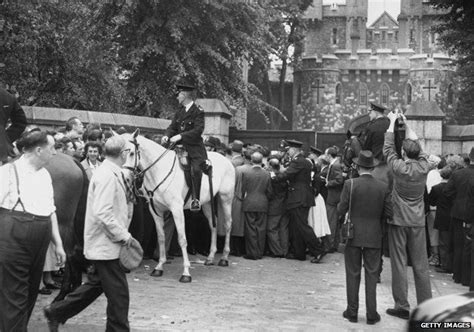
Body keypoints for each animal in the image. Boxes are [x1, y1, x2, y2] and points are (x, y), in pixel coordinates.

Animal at [121, 131, 234, 282]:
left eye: (132, 153)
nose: (125, 177)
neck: (159, 170)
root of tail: (226, 159)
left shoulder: (177, 209)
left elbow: (182, 239)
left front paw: (186, 272)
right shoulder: (156, 210)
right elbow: (161, 238)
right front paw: (159, 267)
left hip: (226, 198)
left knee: (227, 224)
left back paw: (224, 258)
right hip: (206, 203)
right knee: (212, 224)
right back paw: (210, 257)